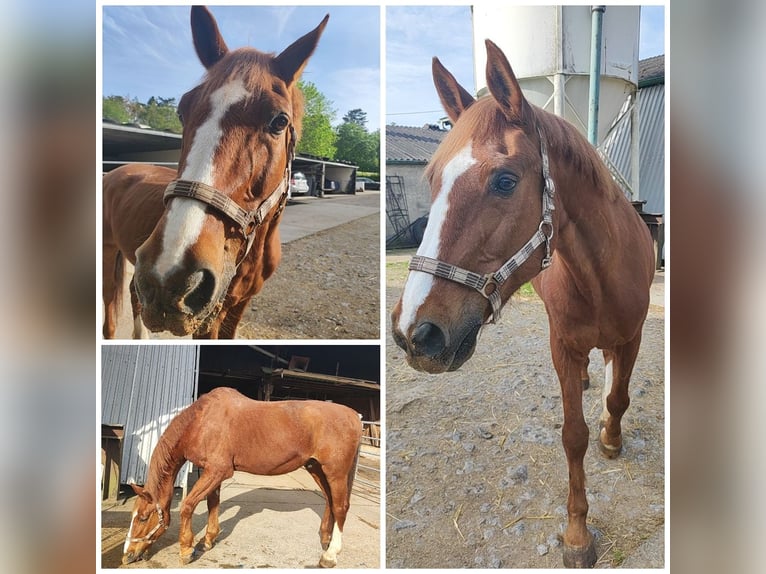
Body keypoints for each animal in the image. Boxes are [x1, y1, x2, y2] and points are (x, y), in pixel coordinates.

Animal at [103, 6, 330, 340]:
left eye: (279, 121)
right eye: (181, 111)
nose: (169, 275)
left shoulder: (236, 306)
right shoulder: (209, 317)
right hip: (109, 253)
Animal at [122, 390, 364, 568]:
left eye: (143, 518)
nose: (127, 556)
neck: (201, 422)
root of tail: (355, 416)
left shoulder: (218, 471)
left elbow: (188, 505)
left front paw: (186, 550)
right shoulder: (211, 472)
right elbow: (213, 503)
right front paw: (207, 540)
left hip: (335, 472)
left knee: (341, 506)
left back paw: (330, 556)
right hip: (316, 468)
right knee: (330, 501)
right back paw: (325, 539)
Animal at [396, 41, 656, 572]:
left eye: (504, 181)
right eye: (430, 180)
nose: (415, 334)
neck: (601, 275)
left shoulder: (634, 336)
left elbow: (618, 400)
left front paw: (612, 436)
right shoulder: (563, 345)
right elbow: (572, 435)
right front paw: (577, 535)